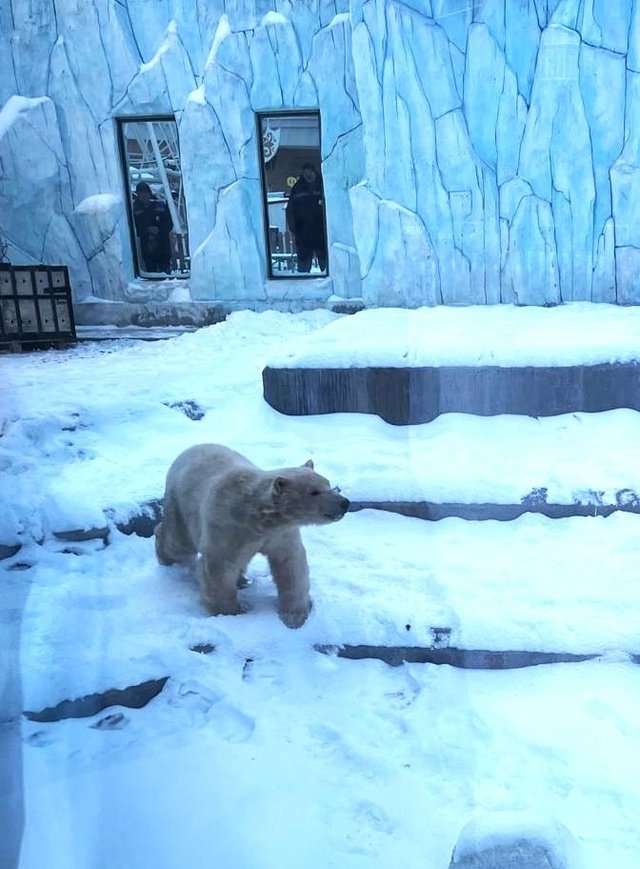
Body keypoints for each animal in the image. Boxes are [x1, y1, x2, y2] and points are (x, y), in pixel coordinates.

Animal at [154, 444, 350, 628]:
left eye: (328, 484)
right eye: (314, 492)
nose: (344, 503)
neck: (255, 515)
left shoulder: (280, 533)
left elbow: (291, 564)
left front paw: (295, 616)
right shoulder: (226, 525)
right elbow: (220, 564)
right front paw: (233, 611)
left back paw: (241, 581)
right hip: (180, 504)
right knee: (177, 542)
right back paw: (164, 556)